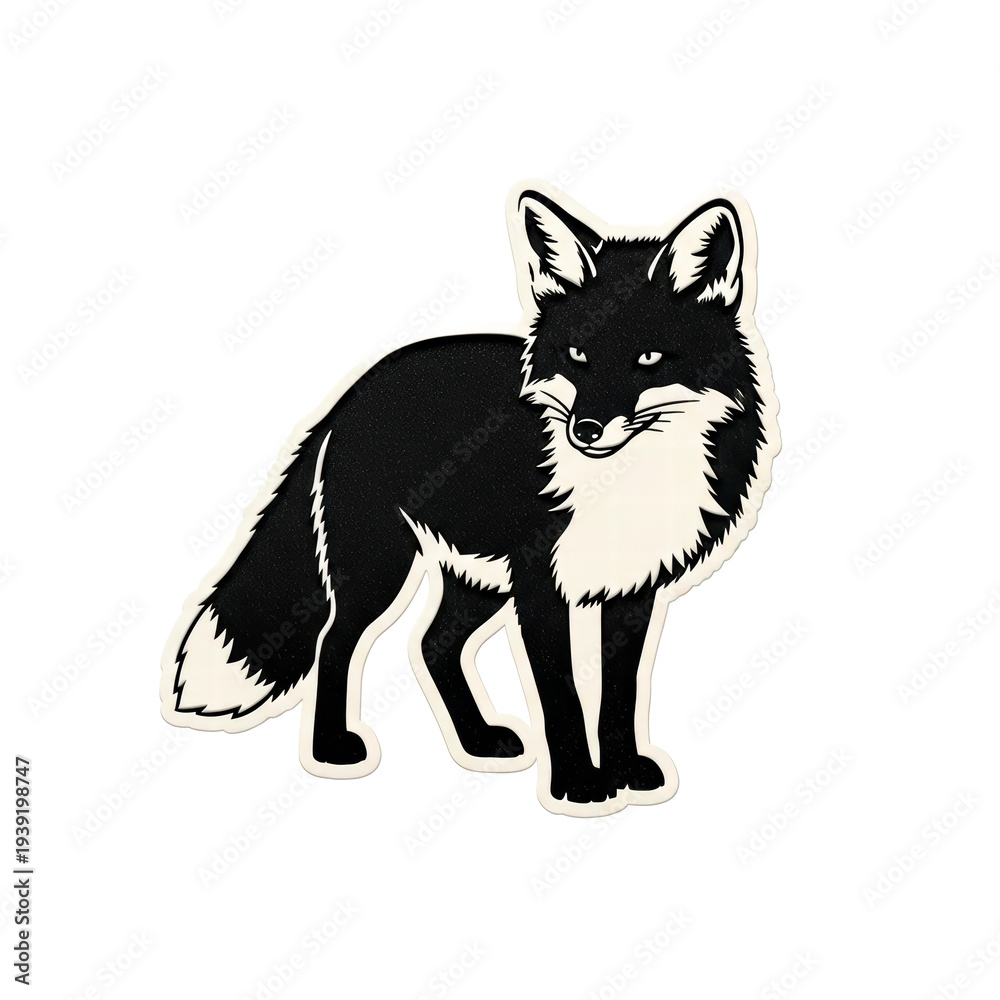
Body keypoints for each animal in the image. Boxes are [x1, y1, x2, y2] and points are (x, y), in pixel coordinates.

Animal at [161, 182, 779, 817]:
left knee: (433, 644)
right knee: (337, 640)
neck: (625, 486)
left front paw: (627, 771)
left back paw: (478, 741)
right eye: (577, 356)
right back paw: (334, 750)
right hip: (382, 569)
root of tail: (355, 390)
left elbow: (619, 694)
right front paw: (580, 785)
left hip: (478, 579)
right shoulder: (540, 586)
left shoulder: (634, 588)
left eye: (649, 358)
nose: (584, 430)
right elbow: (562, 696)